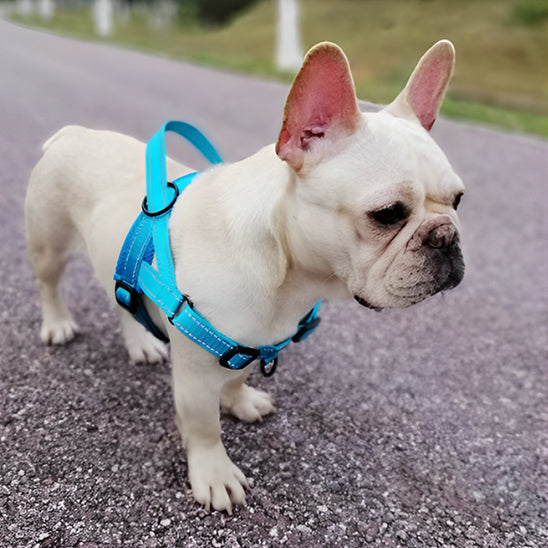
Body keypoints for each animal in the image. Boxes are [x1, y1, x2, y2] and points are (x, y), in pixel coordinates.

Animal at [24, 39, 462, 512]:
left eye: (459, 200)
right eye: (387, 214)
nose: (446, 236)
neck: (287, 270)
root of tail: (72, 134)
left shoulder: (254, 342)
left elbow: (237, 376)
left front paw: (240, 401)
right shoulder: (196, 373)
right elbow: (203, 425)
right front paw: (214, 473)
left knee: (123, 298)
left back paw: (141, 343)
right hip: (48, 243)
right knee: (49, 284)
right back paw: (57, 324)